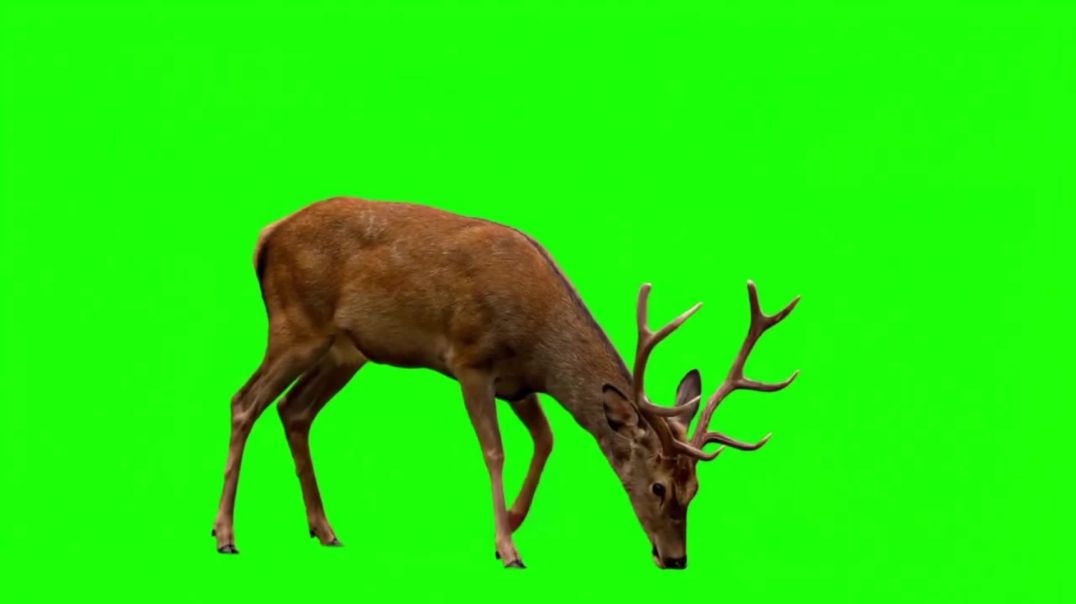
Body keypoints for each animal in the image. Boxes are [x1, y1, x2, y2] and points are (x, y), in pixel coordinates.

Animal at [211, 197, 799, 569]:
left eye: (695, 490)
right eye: (657, 487)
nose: (676, 560)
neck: (537, 337)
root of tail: (265, 237)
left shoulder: (519, 384)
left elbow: (547, 440)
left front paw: (512, 524)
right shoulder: (471, 359)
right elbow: (494, 450)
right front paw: (509, 548)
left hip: (346, 350)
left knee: (294, 410)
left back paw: (325, 529)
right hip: (296, 324)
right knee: (244, 400)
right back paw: (225, 534)